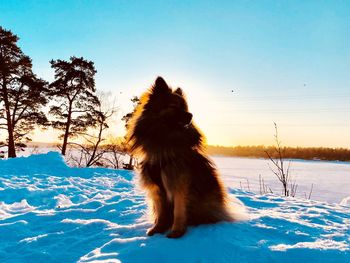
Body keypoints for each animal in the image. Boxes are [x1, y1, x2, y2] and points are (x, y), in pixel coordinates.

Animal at [127, 77, 234, 239]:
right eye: (174, 106)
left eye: (185, 107)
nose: (191, 115)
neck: (165, 141)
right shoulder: (157, 190)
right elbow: (161, 213)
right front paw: (158, 228)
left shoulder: (180, 185)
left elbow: (179, 210)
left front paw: (176, 231)